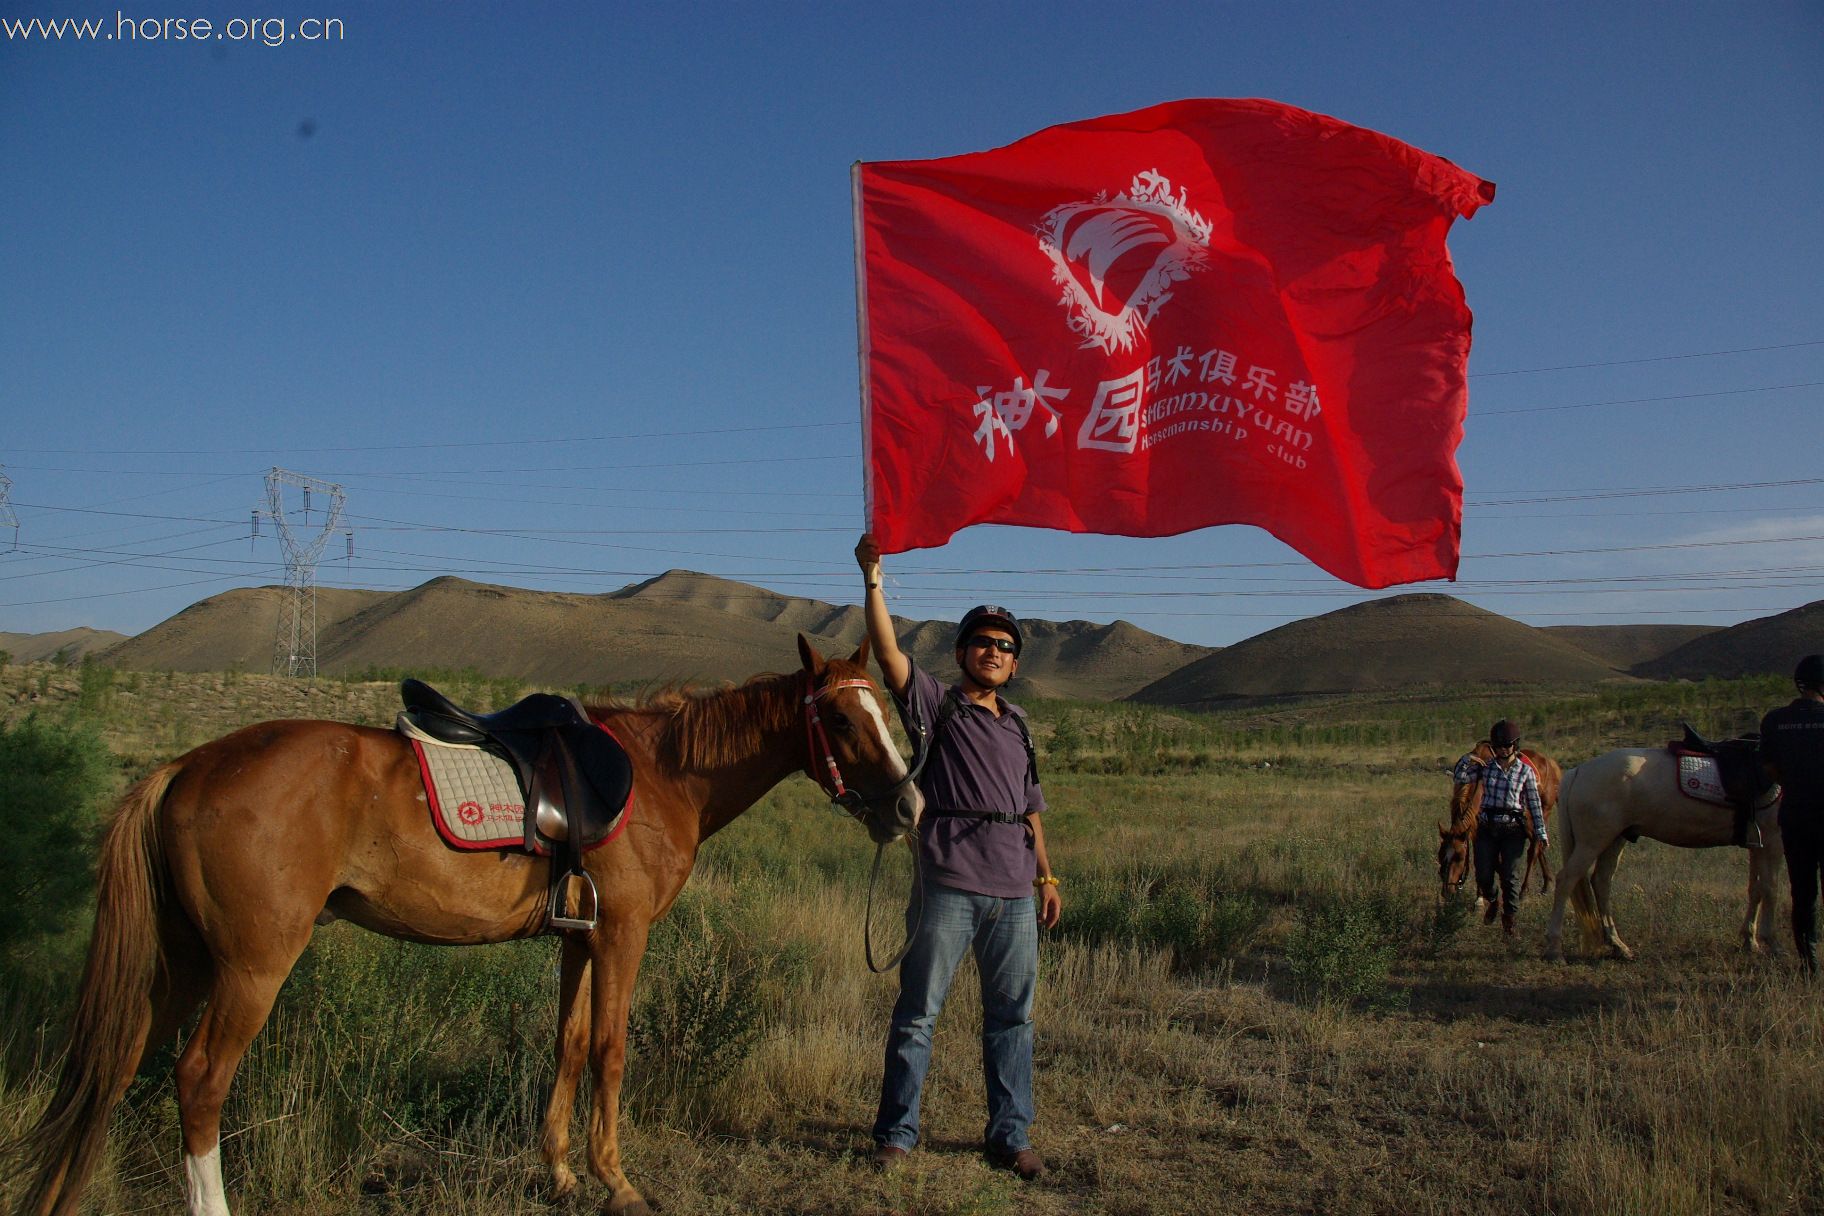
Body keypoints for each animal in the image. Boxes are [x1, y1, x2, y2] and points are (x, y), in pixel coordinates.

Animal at [7, 638, 919, 1216]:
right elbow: (612, 1049)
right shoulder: (622, 935)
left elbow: (569, 1046)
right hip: (249, 967)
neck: (663, 775)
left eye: (884, 712)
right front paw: (617, 1183)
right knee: (198, 1082)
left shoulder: (578, 938)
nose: (909, 805)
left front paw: (559, 1174)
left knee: (110, 1071)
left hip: (178, 965)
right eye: (843, 721)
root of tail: (184, 767)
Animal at [1430, 743, 1561, 904]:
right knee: (1539, 847)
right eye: (1440, 855)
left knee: (1534, 849)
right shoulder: (1476, 828)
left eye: (1459, 857)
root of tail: (1551, 764)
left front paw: (1484, 897)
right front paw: (1481, 895)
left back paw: (1524, 891)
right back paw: (1547, 884)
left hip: (1543, 813)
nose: (1447, 892)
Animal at [1539, 747, 1780, 962]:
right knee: (1566, 881)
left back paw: (1618, 946)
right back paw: (1554, 950)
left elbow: (1756, 889)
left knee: (1601, 881)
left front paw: (1750, 940)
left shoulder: (1758, 845)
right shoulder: (1773, 841)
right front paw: (1772, 943)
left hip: (1614, 840)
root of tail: (1578, 770)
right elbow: (1770, 888)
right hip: (1592, 842)